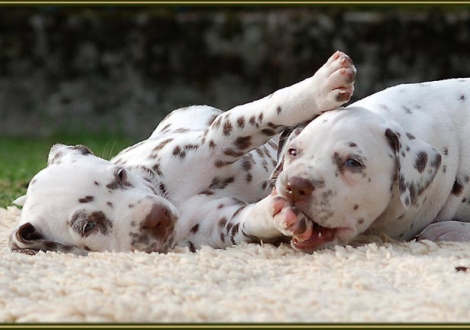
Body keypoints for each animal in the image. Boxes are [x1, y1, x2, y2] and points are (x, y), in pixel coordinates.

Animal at [9, 51, 356, 255]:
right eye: (87, 226)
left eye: (119, 175)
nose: (156, 217)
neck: (170, 193)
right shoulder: (222, 224)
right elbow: (251, 220)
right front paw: (281, 213)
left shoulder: (215, 141)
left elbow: (258, 113)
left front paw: (320, 86)